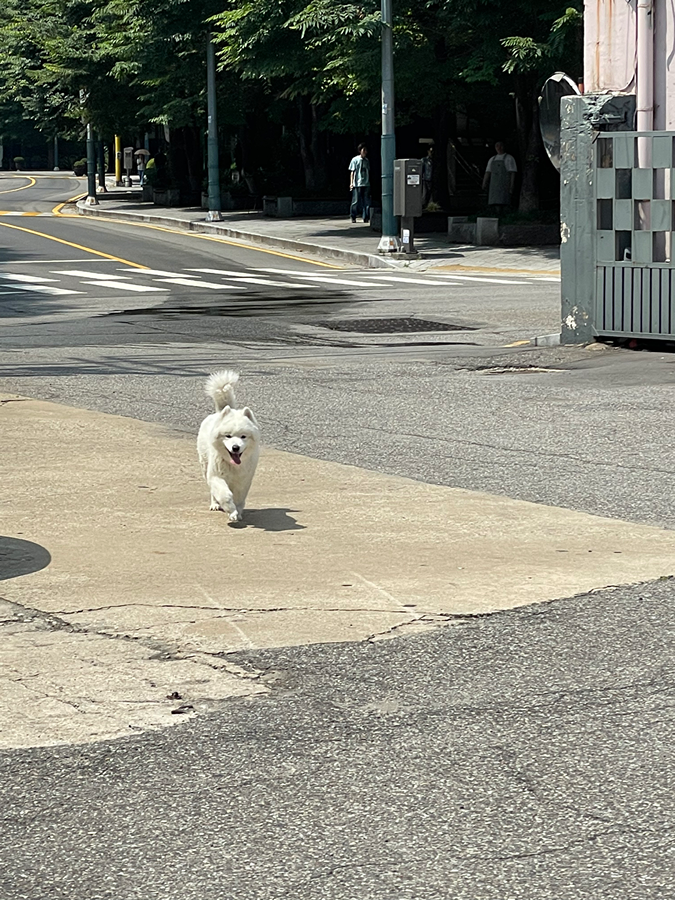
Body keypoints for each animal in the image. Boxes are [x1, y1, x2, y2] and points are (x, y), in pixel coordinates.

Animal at [197, 366, 260, 520]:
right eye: (228, 436)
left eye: (243, 436)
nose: (235, 447)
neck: (233, 466)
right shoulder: (216, 476)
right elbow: (224, 495)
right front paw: (231, 511)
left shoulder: (244, 480)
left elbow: (239, 497)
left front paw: (238, 511)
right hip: (205, 465)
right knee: (212, 490)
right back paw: (215, 504)